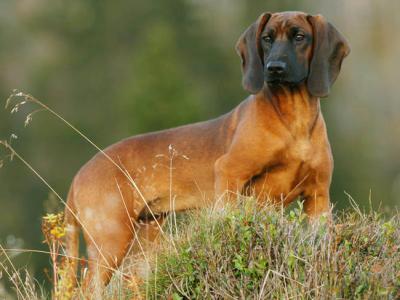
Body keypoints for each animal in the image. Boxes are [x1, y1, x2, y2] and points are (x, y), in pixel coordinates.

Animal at [64, 11, 348, 288]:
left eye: (300, 37)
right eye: (266, 39)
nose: (274, 68)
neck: (294, 119)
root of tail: (78, 176)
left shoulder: (318, 197)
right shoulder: (229, 173)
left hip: (144, 240)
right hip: (110, 241)